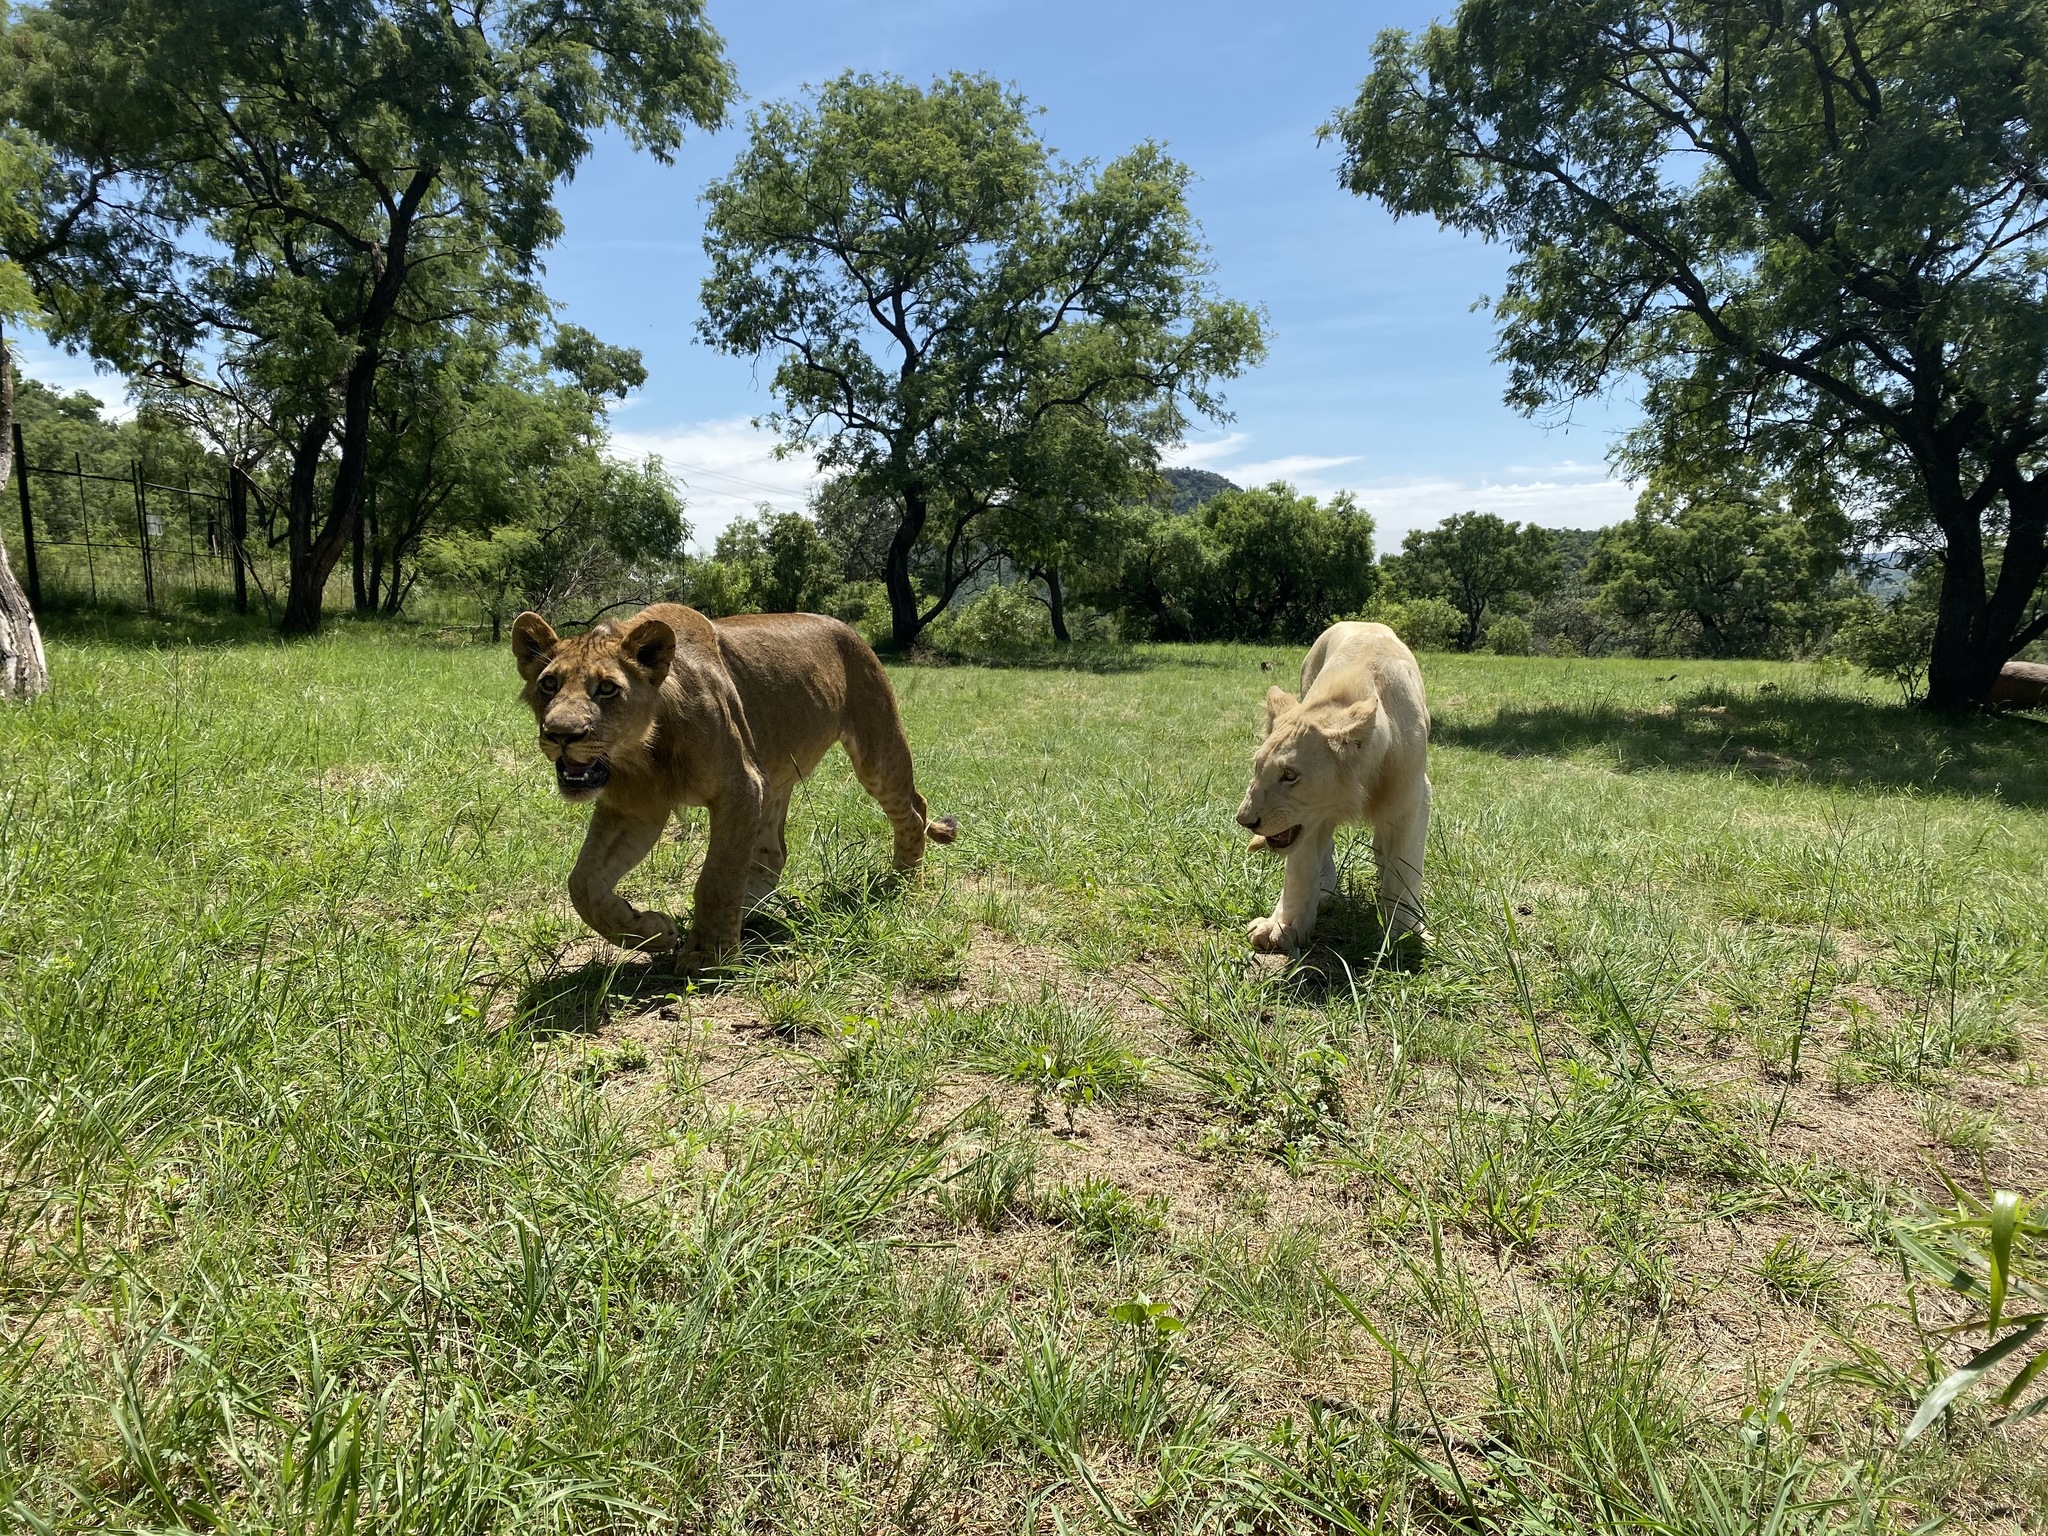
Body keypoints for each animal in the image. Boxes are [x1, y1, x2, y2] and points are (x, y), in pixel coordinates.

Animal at [512, 606, 958, 966]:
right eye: (549, 684)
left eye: (606, 688)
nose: (561, 734)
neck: (642, 753)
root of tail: (849, 629)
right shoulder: (635, 809)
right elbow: (583, 884)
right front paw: (654, 932)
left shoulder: (741, 787)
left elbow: (717, 875)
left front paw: (707, 955)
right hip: (775, 774)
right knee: (772, 852)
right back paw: (747, 913)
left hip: (876, 747)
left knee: (913, 810)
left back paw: (904, 881)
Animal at [1236, 618, 1433, 958]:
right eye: (1258, 768)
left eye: (1289, 775)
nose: (1244, 820)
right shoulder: (1309, 819)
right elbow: (1300, 869)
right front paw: (1282, 928)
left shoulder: (1413, 798)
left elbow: (1405, 866)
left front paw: (1404, 935)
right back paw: (1324, 890)